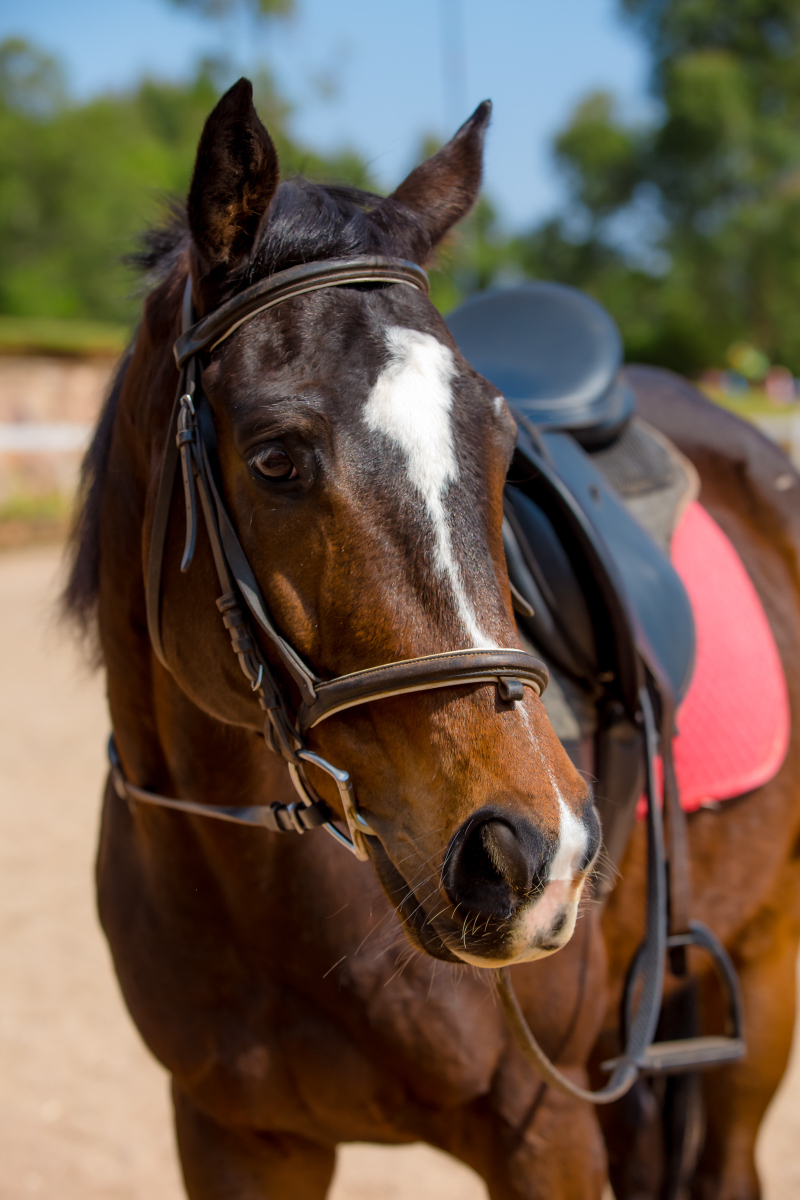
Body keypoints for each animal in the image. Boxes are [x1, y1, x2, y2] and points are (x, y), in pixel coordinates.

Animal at [62, 79, 800, 1200]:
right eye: (274, 459)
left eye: (504, 450)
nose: (536, 854)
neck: (251, 865)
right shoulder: (230, 1134)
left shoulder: (545, 1133)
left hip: (759, 975)